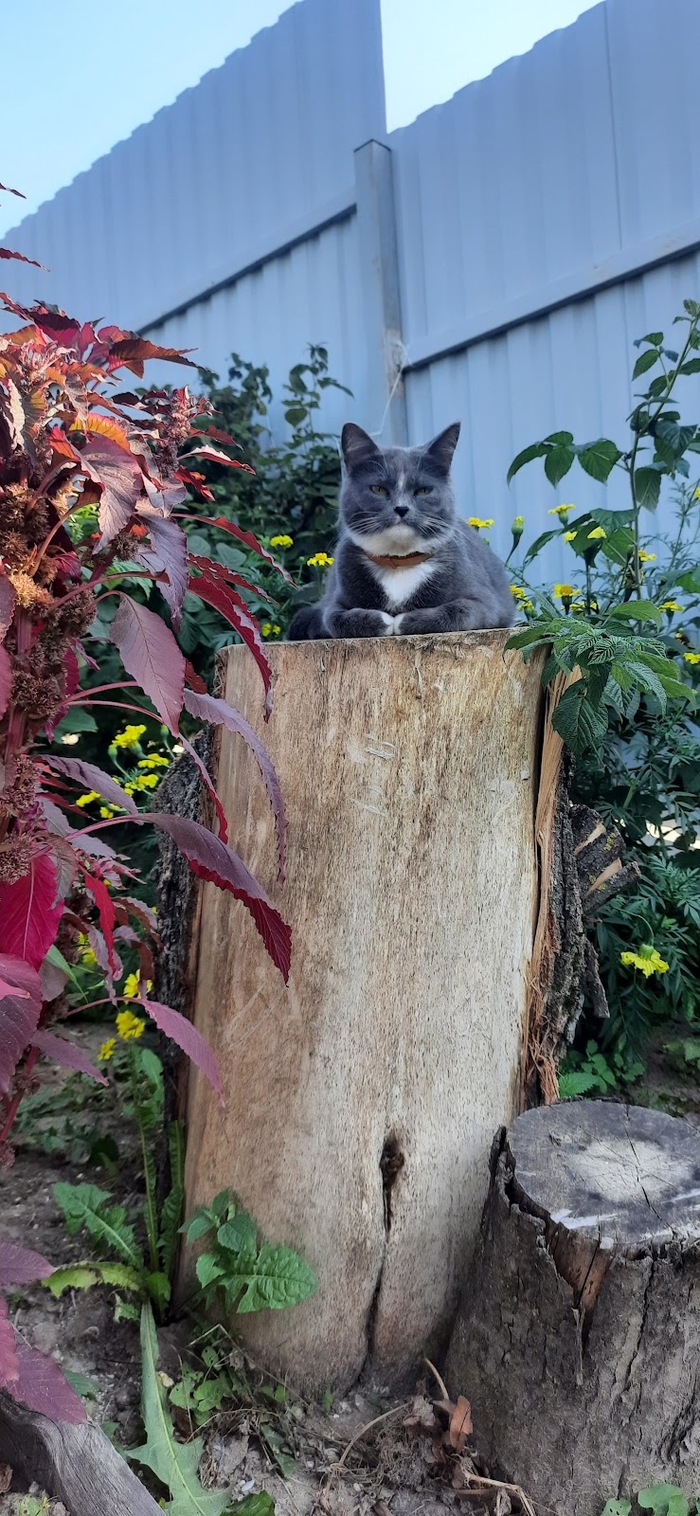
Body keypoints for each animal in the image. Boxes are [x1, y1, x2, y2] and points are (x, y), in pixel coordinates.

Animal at [287, 421, 515, 640]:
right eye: (378, 489)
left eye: (423, 490)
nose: (402, 508)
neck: (399, 561)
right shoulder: (335, 602)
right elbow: (334, 618)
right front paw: (384, 621)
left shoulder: (486, 602)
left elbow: (460, 610)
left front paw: (404, 620)